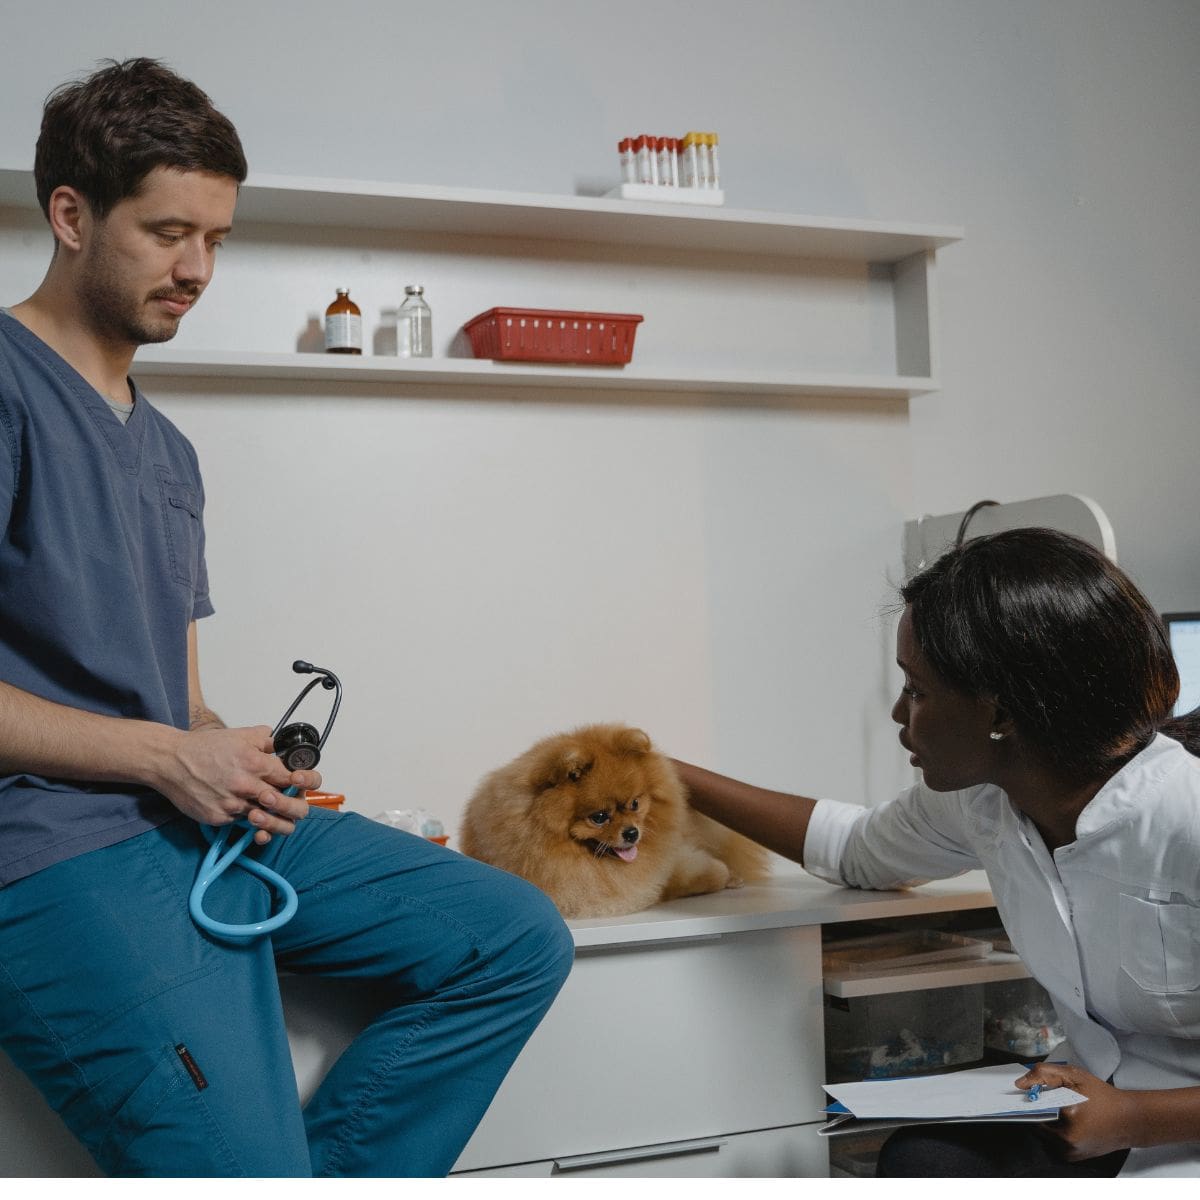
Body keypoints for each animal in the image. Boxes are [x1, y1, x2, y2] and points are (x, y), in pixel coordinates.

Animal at [458, 720, 768, 916]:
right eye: (599, 817)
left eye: (635, 803)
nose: (632, 833)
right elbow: (691, 878)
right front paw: (719, 874)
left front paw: (727, 874)